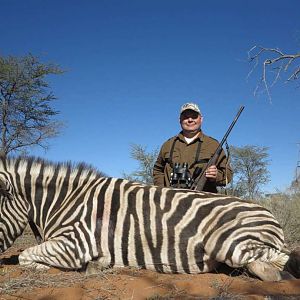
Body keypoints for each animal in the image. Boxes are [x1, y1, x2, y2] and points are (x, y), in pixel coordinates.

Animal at [0, 156, 298, 282]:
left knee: (277, 263)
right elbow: (27, 256)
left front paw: (90, 267)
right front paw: (100, 265)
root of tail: (269, 214)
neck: (65, 201)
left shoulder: (74, 245)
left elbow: (25, 257)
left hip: (226, 243)